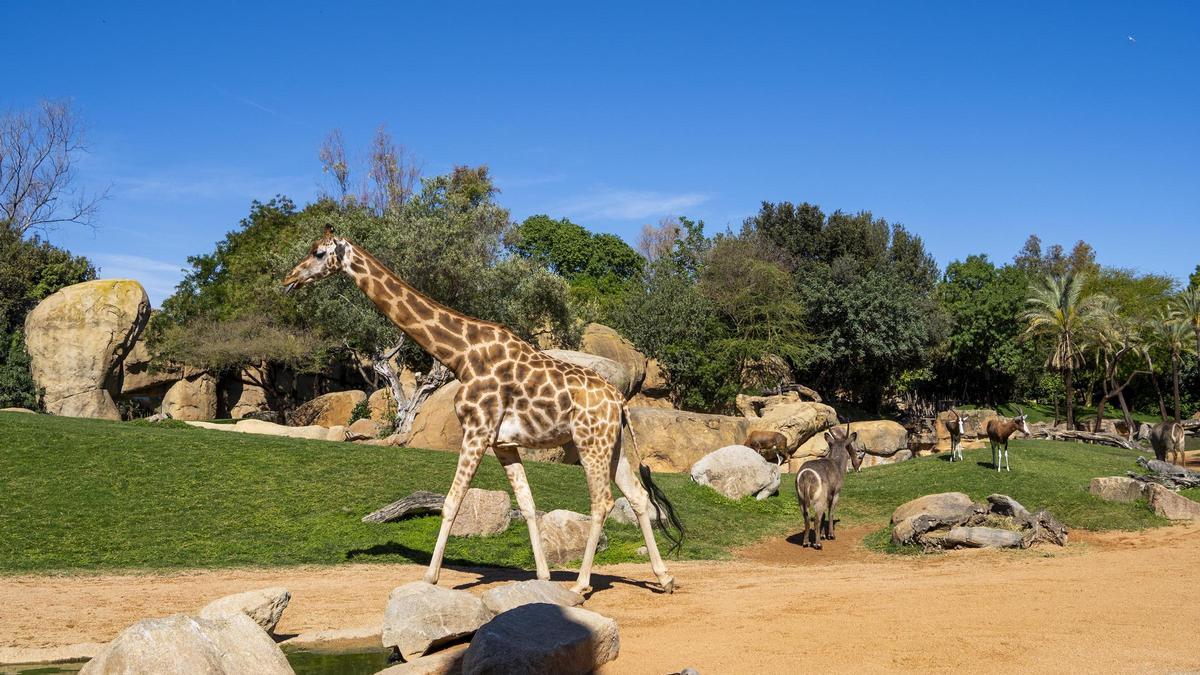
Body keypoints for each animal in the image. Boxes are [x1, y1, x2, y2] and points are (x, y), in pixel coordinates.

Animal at [276, 223, 681, 590]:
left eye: (317, 252)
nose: (288, 279)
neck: (460, 353)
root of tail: (620, 401)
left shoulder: (476, 430)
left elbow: (452, 502)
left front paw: (431, 577)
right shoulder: (504, 443)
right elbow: (528, 503)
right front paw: (544, 576)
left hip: (589, 441)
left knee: (603, 501)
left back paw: (581, 585)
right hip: (613, 446)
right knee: (638, 497)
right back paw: (663, 578)